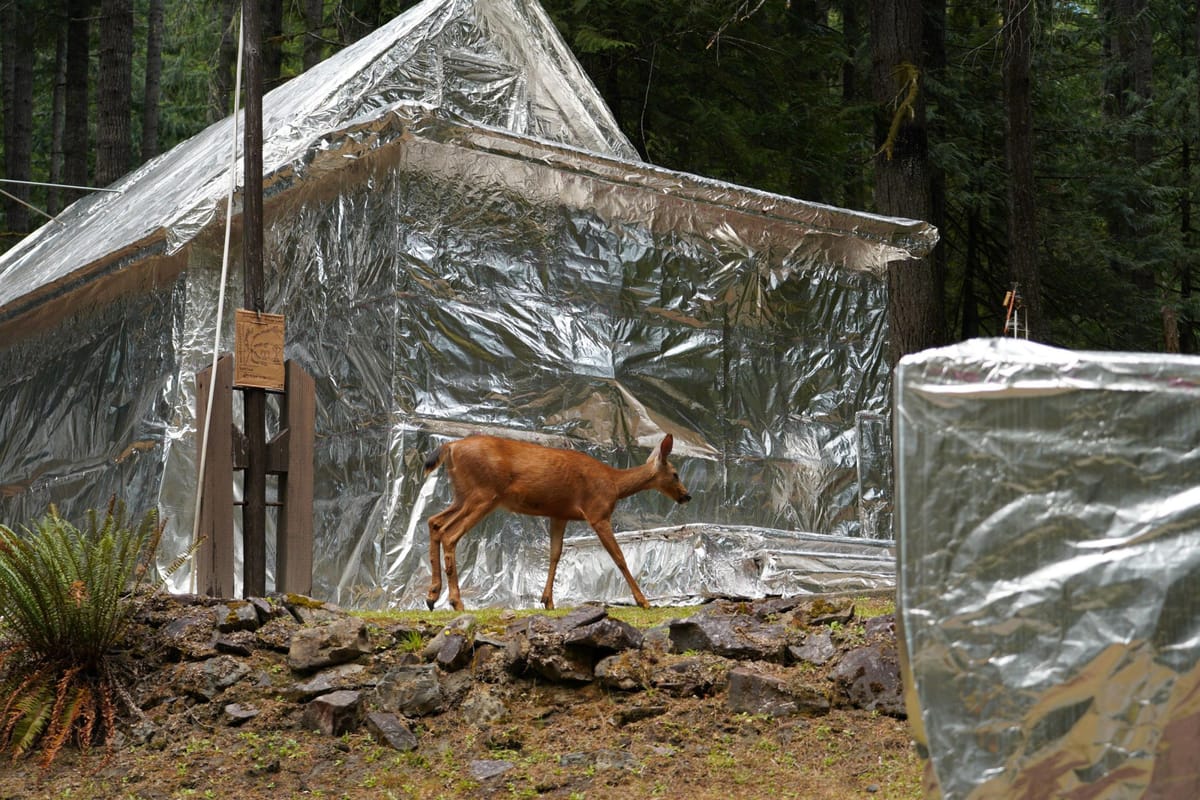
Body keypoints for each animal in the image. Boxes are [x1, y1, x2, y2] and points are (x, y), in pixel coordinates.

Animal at [422, 433, 691, 611]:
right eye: (675, 474)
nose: (686, 496)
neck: (614, 484)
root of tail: (451, 446)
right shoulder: (598, 512)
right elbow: (619, 557)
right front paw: (643, 601)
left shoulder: (559, 514)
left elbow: (555, 554)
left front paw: (547, 601)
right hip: (483, 493)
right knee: (449, 533)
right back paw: (456, 602)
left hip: (463, 494)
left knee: (434, 522)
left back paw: (432, 596)